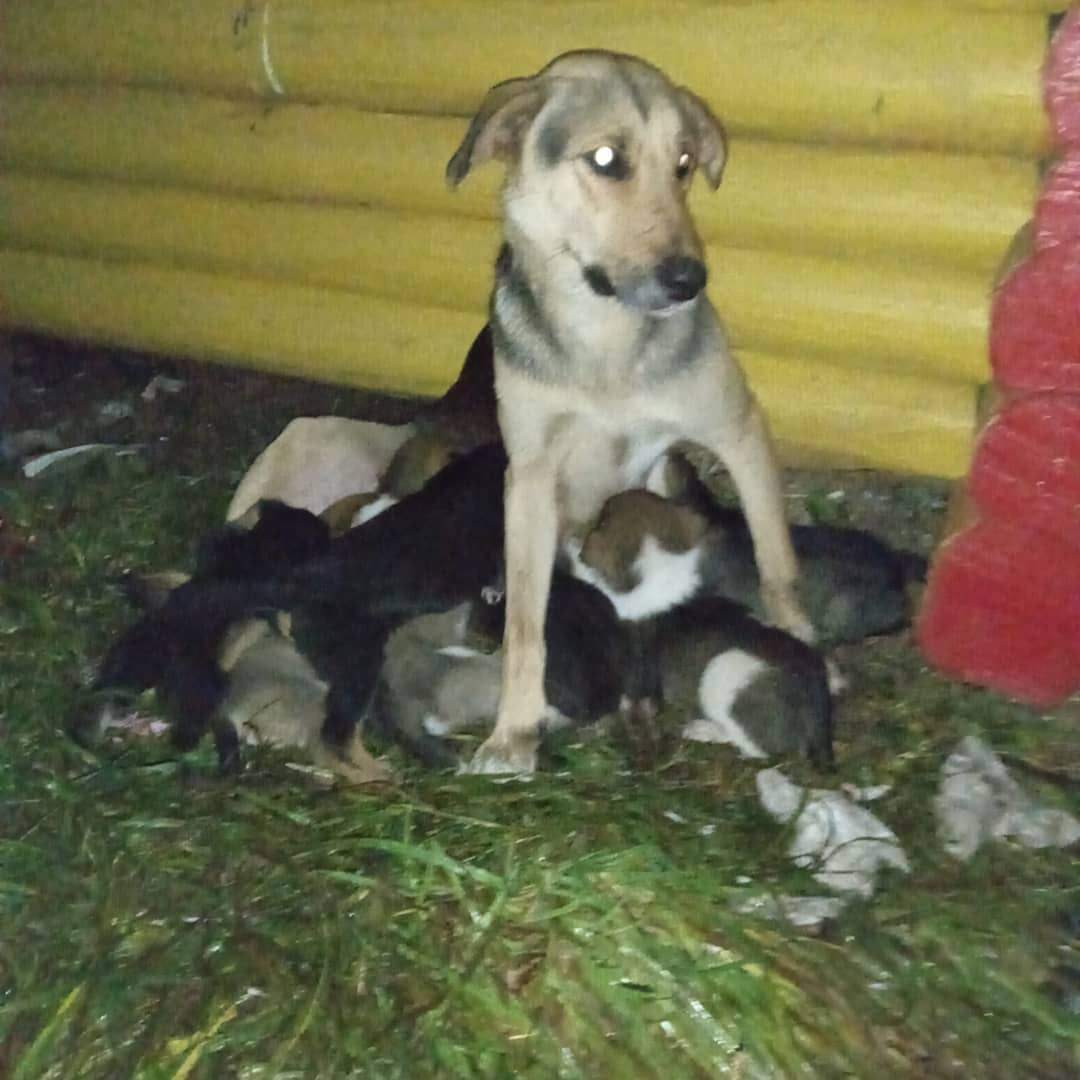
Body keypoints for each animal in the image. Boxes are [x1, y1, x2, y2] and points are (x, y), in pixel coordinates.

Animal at [447, 52, 812, 777]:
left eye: (683, 163)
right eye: (607, 158)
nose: (690, 281)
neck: (605, 345)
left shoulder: (740, 431)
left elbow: (777, 560)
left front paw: (798, 642)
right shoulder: (529, 478)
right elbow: (525, 624)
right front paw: (513, 732)